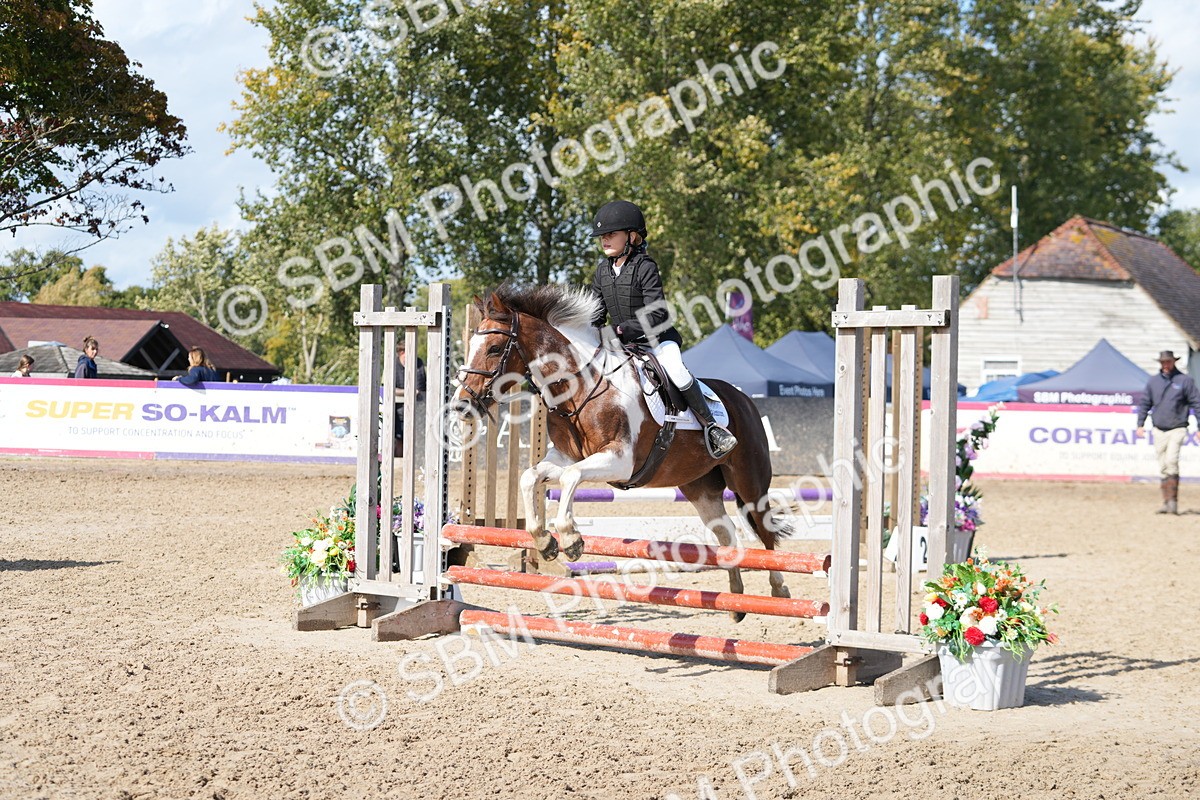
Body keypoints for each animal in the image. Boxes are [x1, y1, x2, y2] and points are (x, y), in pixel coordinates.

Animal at [453, 284, 793, 617]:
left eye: (494, 348)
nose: (462, 404)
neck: (579, 387)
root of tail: (744, 399)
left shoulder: (620, 459)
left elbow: (571, 478)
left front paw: (571, 539)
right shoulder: (564, 457)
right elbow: (530, 477)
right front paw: (546, 542)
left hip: (749, 481)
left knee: (764, 530)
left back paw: (779, 590)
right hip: (700, 488)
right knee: (726, 531)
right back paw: (735, 597)